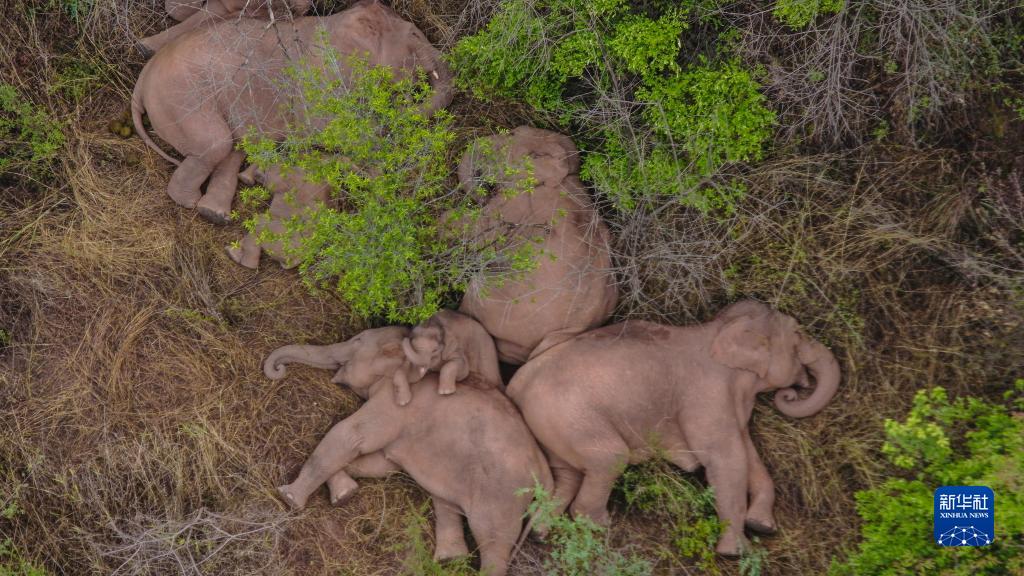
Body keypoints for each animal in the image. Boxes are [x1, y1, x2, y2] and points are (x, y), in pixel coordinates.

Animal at [264, 326, 553, 576]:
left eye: (357, 341)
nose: (279, 369)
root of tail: (545, 472)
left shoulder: (396, 404)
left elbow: (351, 435)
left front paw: (289, 498)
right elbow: (380, 463)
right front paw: (344, 494)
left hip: (503, 496)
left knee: (493, 541)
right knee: (446, 501)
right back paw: (449, 559)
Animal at [505, 300, 841, 556]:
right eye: (798, 334)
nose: (791, 394)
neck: (718, 329)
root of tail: (516, 385)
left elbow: (749, 454)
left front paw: (762, 526)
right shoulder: (706, 395)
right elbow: (725, 458)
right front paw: (737, 553)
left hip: (553, 426)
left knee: (568, 474)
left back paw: (541, 533)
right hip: (567, 414)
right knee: (610, 458)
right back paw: (599, 526)